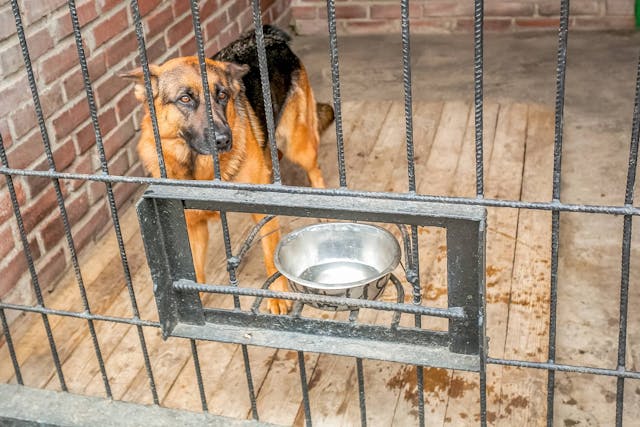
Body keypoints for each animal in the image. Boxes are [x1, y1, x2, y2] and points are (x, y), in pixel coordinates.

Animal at [125, 27, 336, 314]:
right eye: (185, 99)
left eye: (222, 96)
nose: (224, 140)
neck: (199, 169)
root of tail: (270, 35)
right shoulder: (192, 225)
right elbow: (193, 269)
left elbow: (270, 254)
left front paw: (277, 295)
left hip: (297, 142)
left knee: (314, 170)